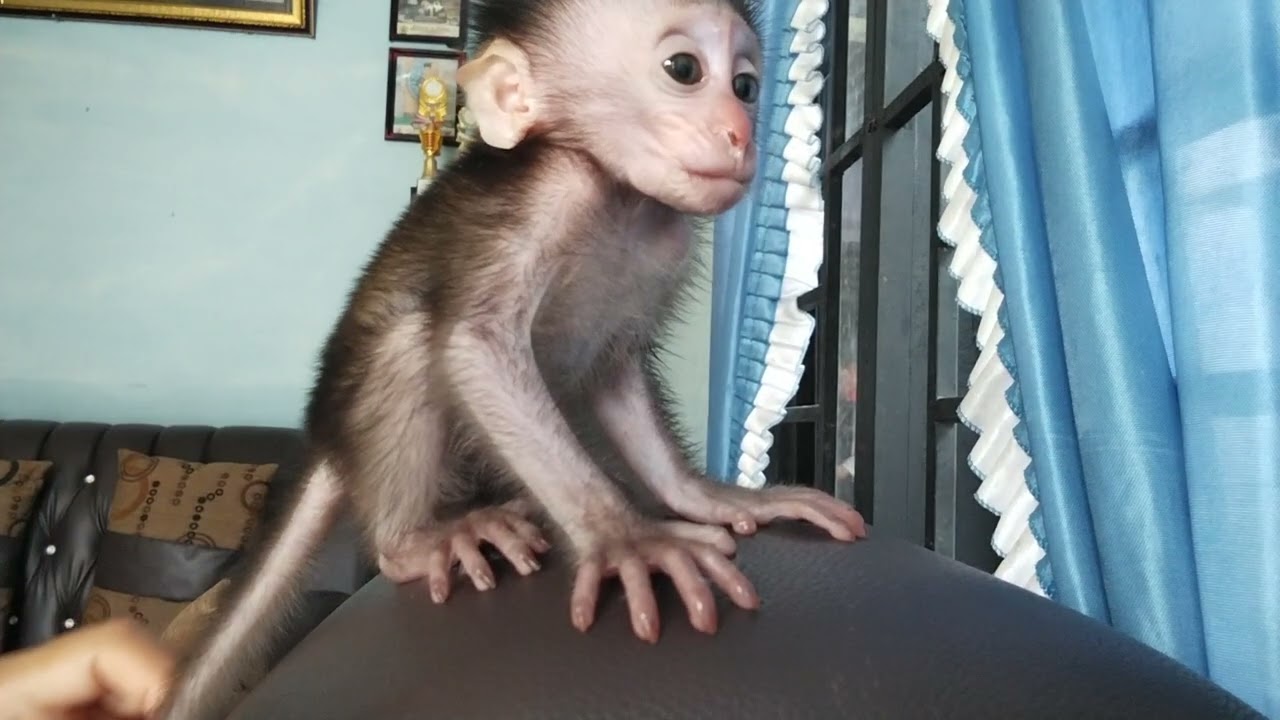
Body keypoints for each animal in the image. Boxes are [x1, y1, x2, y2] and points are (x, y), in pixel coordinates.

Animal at [154, 1, 867, 717]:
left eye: (746, 86)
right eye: (683, 69)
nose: (740, 133)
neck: (617, 196)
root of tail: (330, 438)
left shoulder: (666, 240)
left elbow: (615, 371)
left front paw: (704, 497)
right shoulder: (549, 196)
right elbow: (478, 343)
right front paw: (626, 537)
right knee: (412, 338)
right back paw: (412, 543)